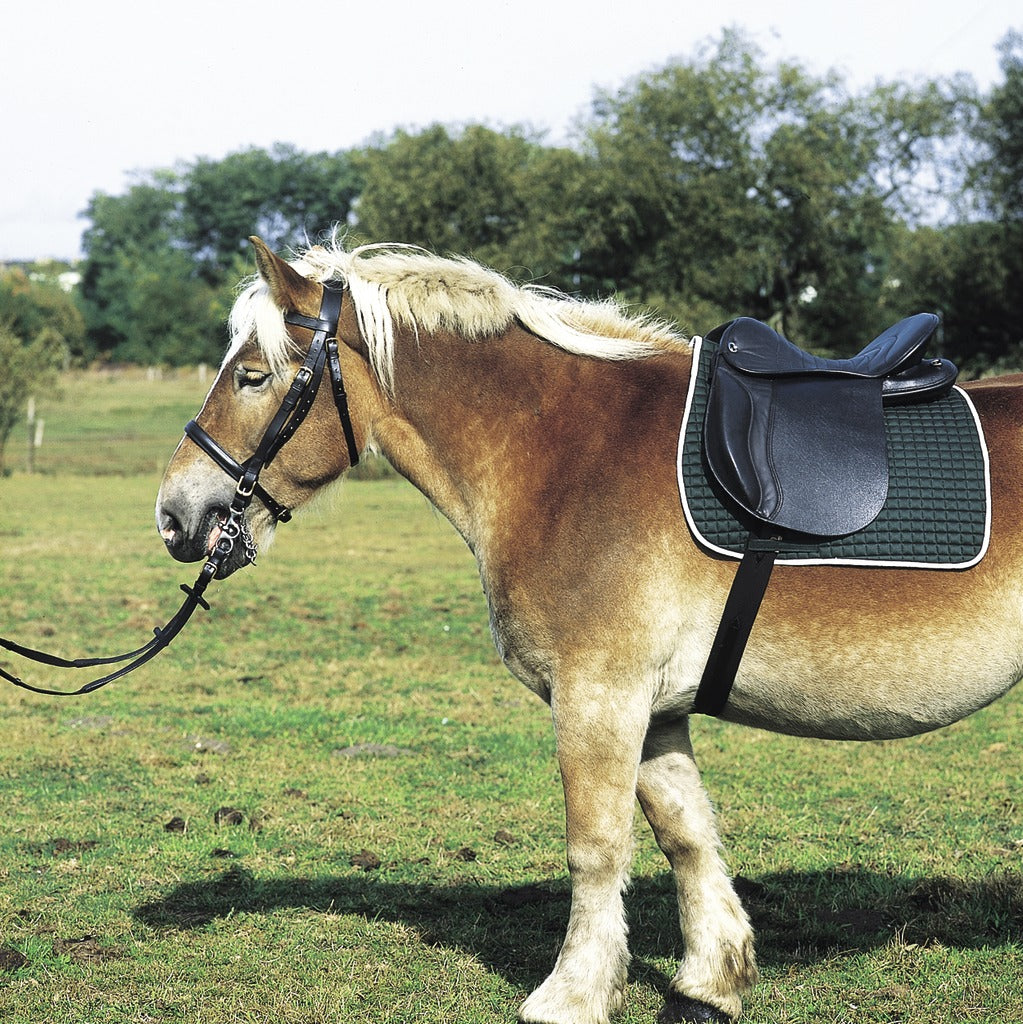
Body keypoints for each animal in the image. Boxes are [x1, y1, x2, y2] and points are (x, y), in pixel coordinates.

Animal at [156, 236, 1023, 1024]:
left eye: (252, 375)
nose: (174, 515)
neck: (565, 453)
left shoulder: (597, 694)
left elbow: (595, 847)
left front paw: (571, 994)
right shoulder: (654, 708)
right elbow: (685, 835)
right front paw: (707, 984)